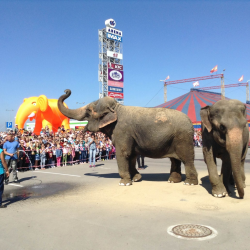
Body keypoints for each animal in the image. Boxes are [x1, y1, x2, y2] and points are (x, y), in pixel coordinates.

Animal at [57, 89, 198, 186]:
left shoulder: (122, 131)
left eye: (88, 112)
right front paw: (136, 179)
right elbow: (131, 155)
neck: (117, 108)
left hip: (183, 137)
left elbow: (123, 153)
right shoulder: (130, 136)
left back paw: (189, 183)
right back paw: (173, 181)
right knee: (175, 160)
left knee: (187, 158)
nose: (66, 90)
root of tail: (191, 122)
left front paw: (124, 183)